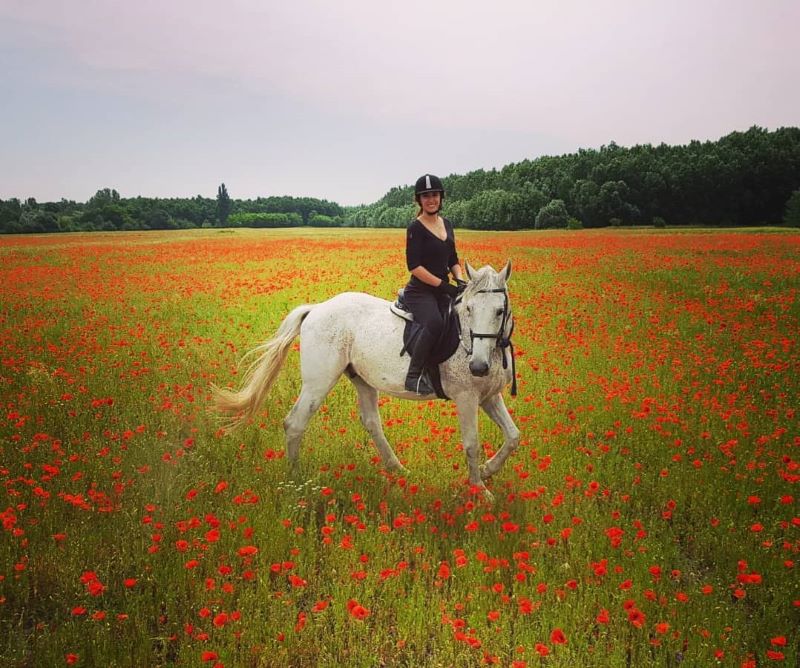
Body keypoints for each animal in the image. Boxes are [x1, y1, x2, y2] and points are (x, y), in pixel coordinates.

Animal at [212, 261, 519, 501]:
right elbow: (472, 443)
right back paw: (296, 482)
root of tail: (316, 309)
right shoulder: (466, 398)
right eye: (469, 309)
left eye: (499, 311)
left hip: (362, 379)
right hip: (318, 382)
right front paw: (481, 491)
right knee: (295, 423)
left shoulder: (489, 396)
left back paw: (398, 470)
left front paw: (487, 471)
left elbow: (513, 436)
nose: (477, 366)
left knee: (371, 422)